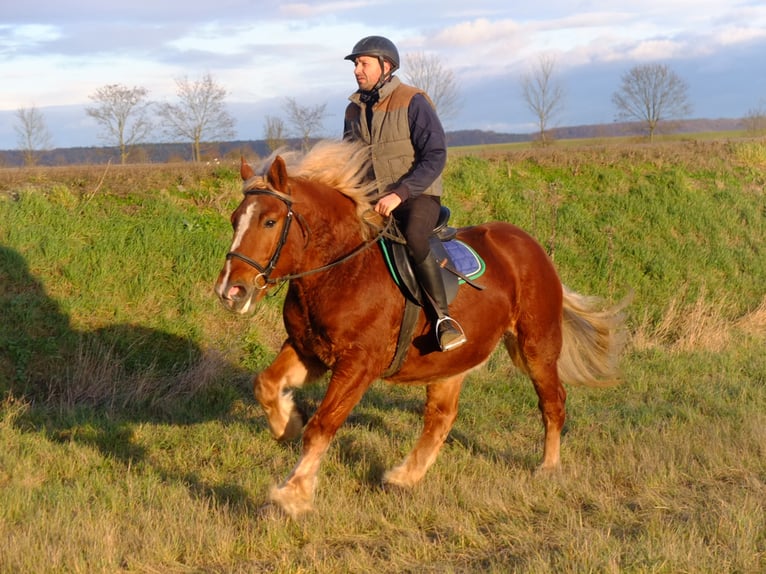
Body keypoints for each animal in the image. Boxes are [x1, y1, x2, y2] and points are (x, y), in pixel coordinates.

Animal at [216, 138, 632, 516]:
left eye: (270, 221)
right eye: (236, 220)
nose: (230, 290)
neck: (341, 269)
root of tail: (531, 245)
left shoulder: (358, 365)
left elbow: (322, 425)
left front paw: (293, 494)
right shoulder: (308, 350)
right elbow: (266, 384)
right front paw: (286, 424)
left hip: (537, 345)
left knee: (552, 402)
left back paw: (547, 467)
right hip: (452, 359)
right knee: (441, 418)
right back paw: (405, 477)